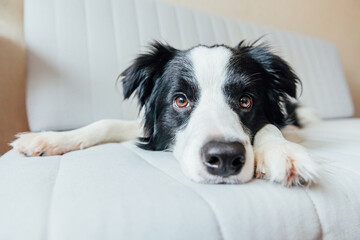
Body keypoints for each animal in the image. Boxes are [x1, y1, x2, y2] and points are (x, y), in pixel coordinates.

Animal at [11, 40, 320, 186]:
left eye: (245, 101)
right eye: (180, 100)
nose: (224, 158)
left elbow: (272, 127)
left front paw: (284, 153)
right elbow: (106, 123)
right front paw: (49, 139)